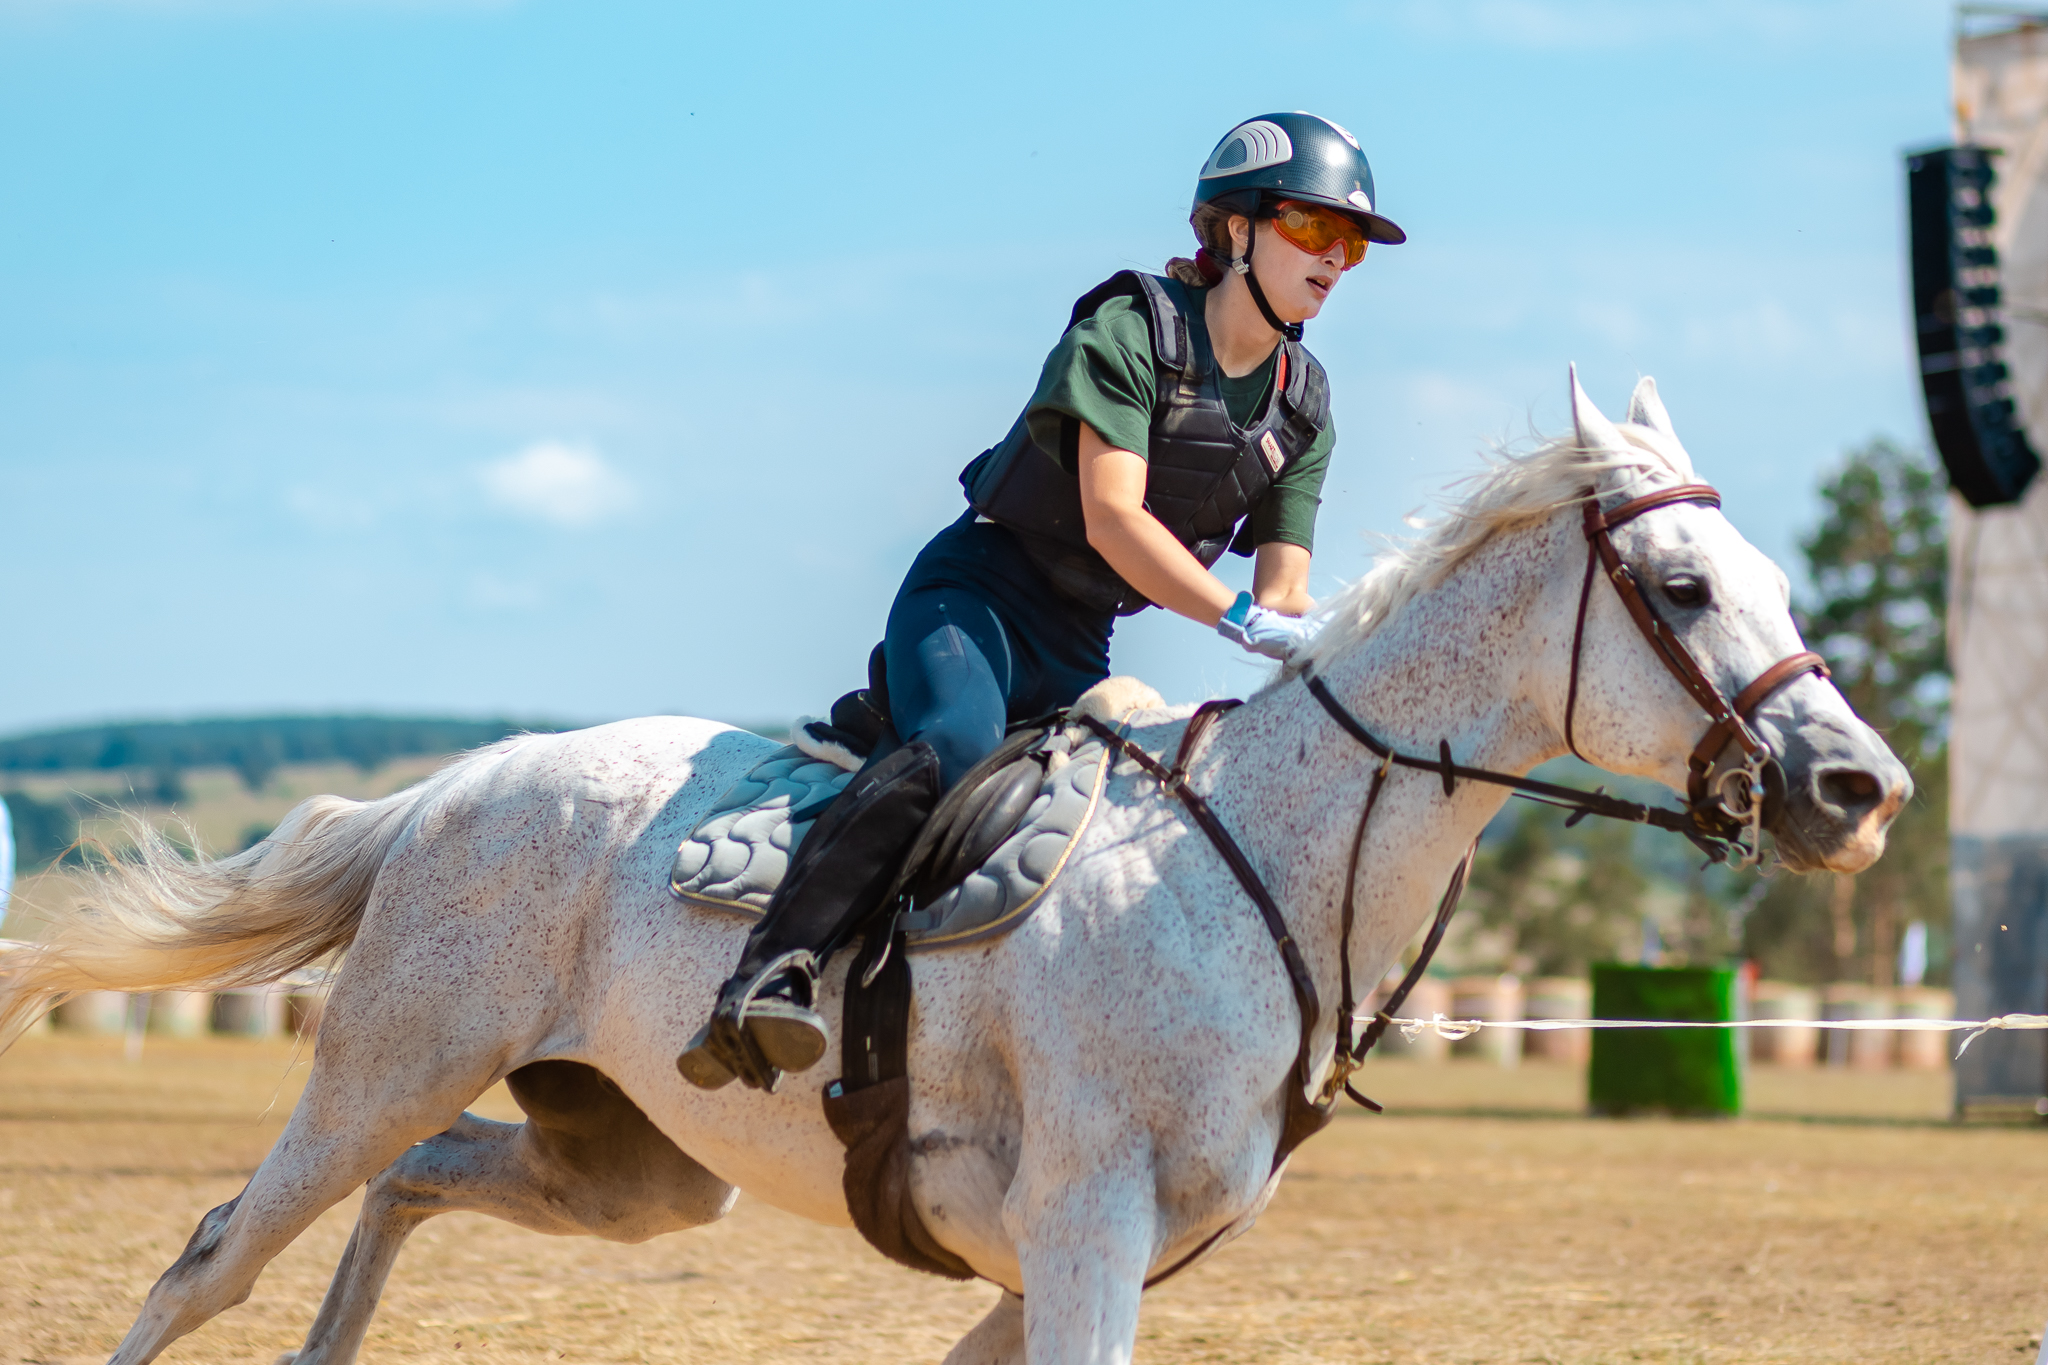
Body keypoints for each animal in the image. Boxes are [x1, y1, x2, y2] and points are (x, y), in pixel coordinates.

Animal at [0, 374, 1900, 1365]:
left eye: (1772, 580)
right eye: (1680, 590)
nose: (1859, 788)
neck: (1266, 865)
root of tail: (454, 785)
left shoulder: (1080, 1259)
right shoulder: (1083, 1231)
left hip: (631, 1167)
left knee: (417, 1182)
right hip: (383, 1059)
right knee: (214, 1252)